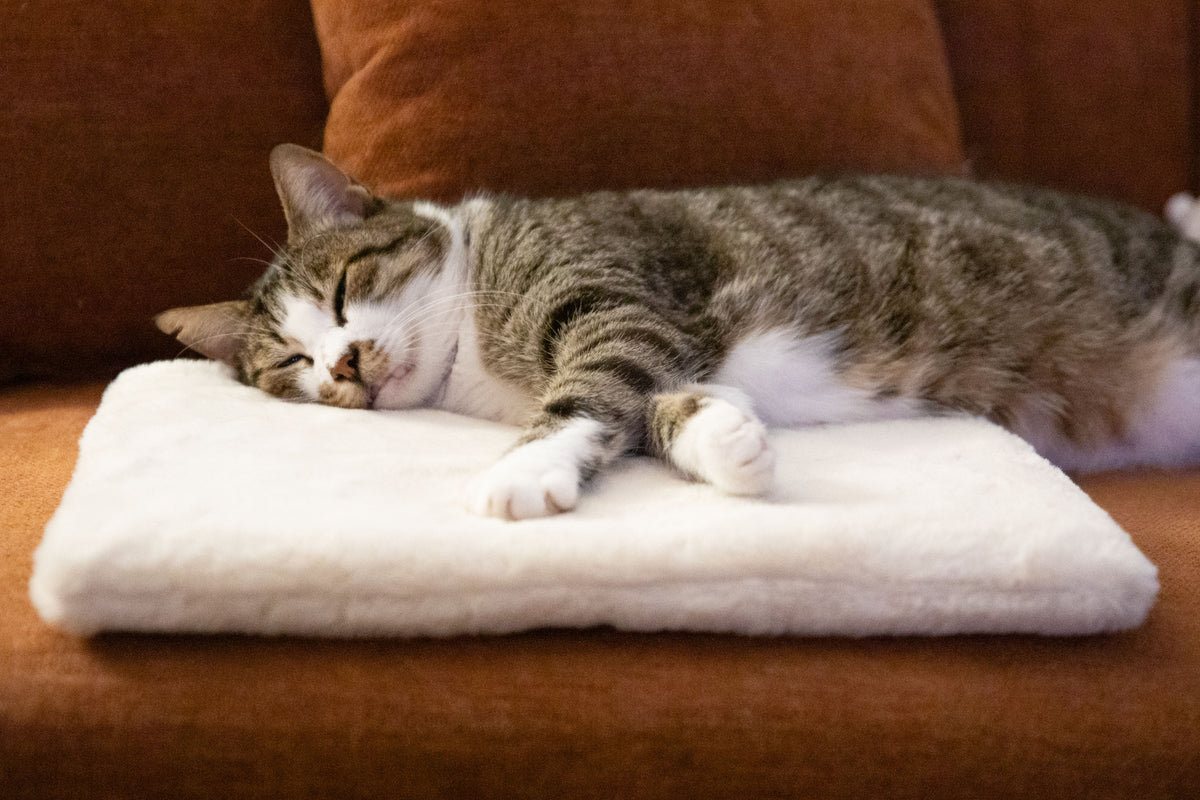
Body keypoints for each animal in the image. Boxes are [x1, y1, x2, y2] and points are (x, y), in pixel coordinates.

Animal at [159, 143, 1200, 520]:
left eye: (342, 291)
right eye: (290, 363)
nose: (343, 365)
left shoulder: (614, 294)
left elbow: (585, 392)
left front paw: (522, 471)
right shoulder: (652, 345)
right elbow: (650, 403)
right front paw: (725, 438)